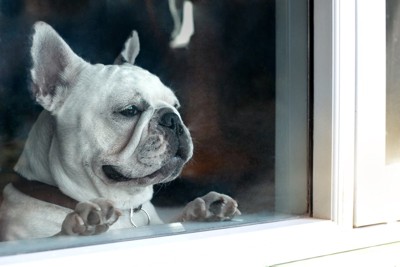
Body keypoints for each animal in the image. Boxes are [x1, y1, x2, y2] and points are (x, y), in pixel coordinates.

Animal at [0, 22, 239, 242]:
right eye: (130, 110)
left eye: (176, 105)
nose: (173, 119)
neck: (126, 208)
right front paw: (81, 224)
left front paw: (203, 208)